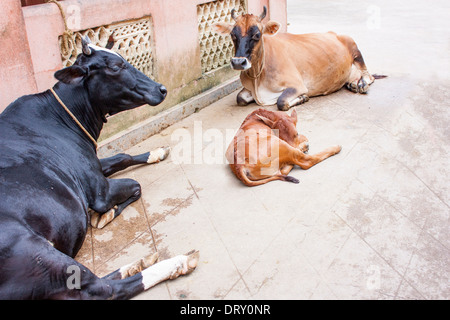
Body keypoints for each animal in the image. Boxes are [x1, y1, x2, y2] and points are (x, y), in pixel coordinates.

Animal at [0, 38, 199, 300]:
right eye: (115, 66)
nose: (162, 89)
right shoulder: (99, 192)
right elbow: (135, 186)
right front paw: (107, 214)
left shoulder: (92, 165)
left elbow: (122, 157)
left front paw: (157, 152)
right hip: (36, 253)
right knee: (105, 290)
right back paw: (177, 262)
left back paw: (137, 263)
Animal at [214, 6, 384, 111]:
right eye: (232, 34)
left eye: (257, 34)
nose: (238, 62)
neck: (258, 77)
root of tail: (334, 33)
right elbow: (240, 98)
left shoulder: (297, 85)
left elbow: (281, 101)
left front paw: (302, 98)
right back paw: (353, 83)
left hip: (355, 48)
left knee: (368, 75)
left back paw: (361, 85)